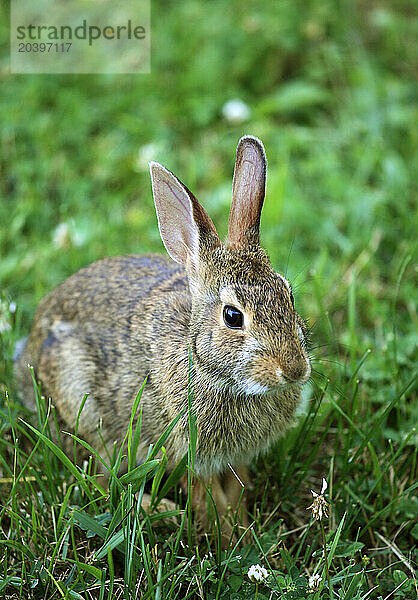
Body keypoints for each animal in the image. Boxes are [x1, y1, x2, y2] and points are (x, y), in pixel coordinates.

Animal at [14, 135, 310, 540]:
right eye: (233, 316)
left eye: (288, 295)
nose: (294, 370)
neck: (205, 364)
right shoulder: (188, 452)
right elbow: (207, 499)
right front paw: (224, 536)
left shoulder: (236, 459)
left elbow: (236, 492)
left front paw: (244, 532)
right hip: (87, 410)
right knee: (99, 482)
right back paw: (164, 512)